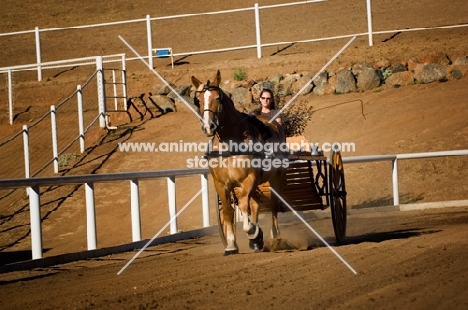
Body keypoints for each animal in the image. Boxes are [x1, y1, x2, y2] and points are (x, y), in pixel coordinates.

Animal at [190, 71, 286, 256]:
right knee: (255, 204)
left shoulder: (249, 179)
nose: (208, 127)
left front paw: (253, 232)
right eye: (198, 100)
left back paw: (275, 236)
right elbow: (229, 211)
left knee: (273, 205)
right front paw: (231, 244)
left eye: (218, 98)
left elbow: (242, 205)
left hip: (275, 177)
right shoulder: (221, 184)